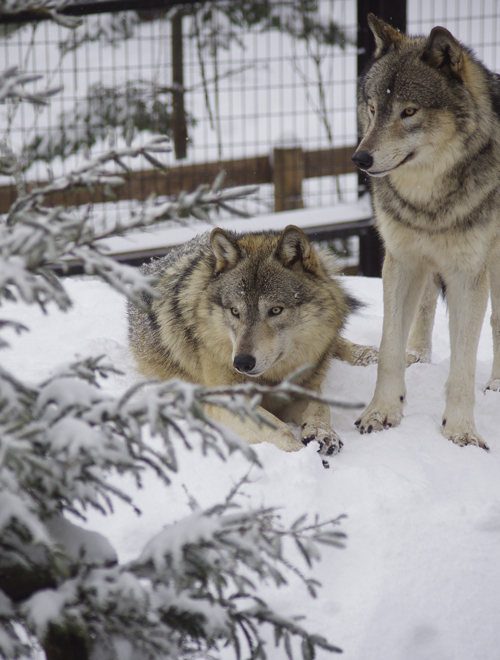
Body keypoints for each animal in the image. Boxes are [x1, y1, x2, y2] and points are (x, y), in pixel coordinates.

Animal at [129, 224, 376, 456]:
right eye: (235, 311)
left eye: (275, 310)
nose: (242, 362)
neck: (273, 378)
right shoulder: (224, 399)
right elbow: (279, 428)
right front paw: (302, 456)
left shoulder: (301, 390)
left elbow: (320, 408)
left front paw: (321, 432)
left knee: (340, 344)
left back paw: (373, 356)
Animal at [352, 15, 500, 452]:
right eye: (373, 108)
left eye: (408, 111)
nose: (359, 158)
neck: (428, 200)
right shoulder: (400, 259)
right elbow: (388, 349)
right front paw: (382, 412)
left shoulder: (469, 275)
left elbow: (463, 367)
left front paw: (460, 432)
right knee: (426, 304)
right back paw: (417, 356)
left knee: (497, 321)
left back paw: (497, 385)